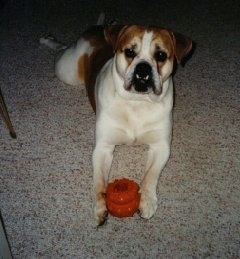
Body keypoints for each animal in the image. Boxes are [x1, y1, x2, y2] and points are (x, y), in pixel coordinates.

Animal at [40, 19, 191, 225]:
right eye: (129, 52)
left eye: (160, 55)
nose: (143, 69)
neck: (137, 102)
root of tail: (98, 28)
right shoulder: (103, 147)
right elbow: (98, 182)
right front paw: (99, 206)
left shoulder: (160, 146)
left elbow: (150, 175)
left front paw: (146, 201)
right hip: (67, 70)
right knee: (61, 49)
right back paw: (48, 39)